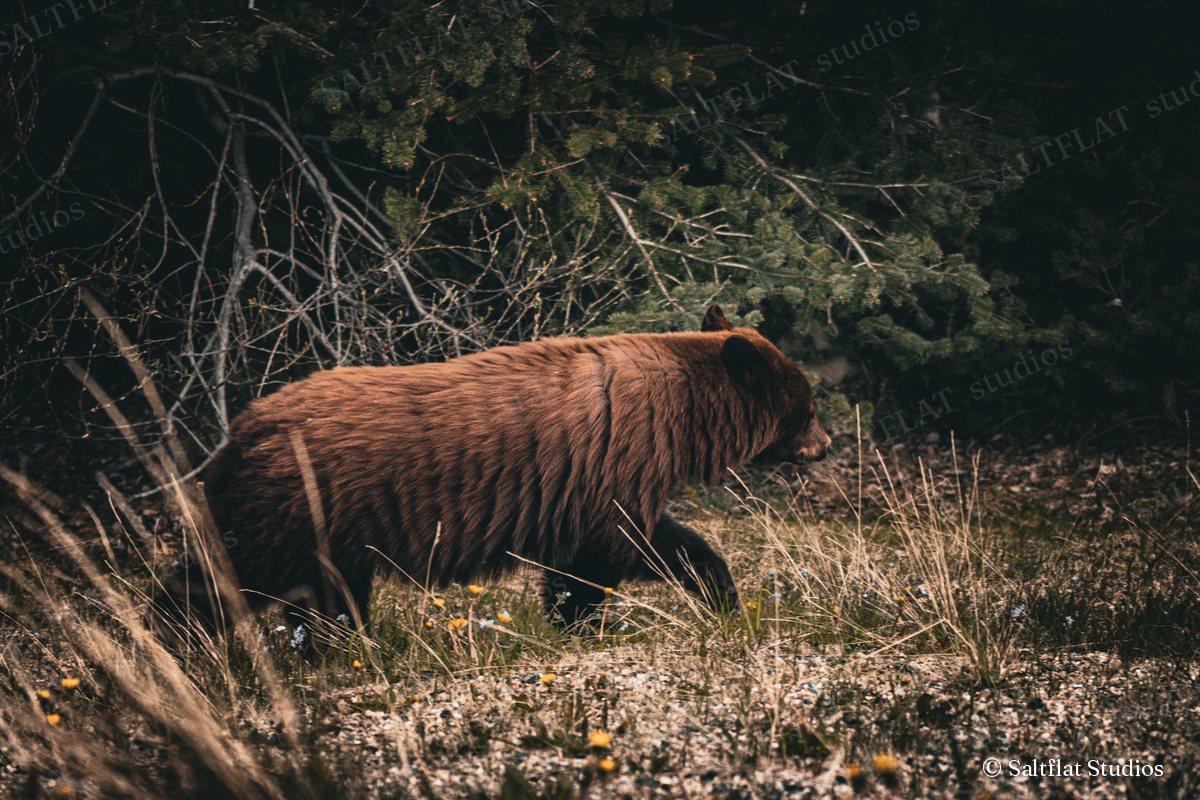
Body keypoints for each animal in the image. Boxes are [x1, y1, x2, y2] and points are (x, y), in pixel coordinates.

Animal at [172, 304, 830, 632]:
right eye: (808, 408)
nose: (825, 446)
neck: (679, 408)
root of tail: (242, 428)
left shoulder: (602, 480)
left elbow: (631, 545)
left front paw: (720, 595)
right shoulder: (619, 462)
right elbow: (616, 549)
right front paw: (582, 624)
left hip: (335, 532)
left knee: (329, 597)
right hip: (291, 506)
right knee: (222, 578)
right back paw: (181, 641)